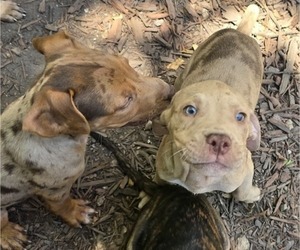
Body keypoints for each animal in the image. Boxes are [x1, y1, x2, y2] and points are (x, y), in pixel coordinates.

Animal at [0, 30, 173, 249]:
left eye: (127, 63)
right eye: (125, 102)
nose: (171, 90)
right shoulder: (55, 191)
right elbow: (63, 205)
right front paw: (77, 213)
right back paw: (9, 235)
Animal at [155, 4, 262, 203]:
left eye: (240, 117)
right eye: (190, 110)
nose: (220, 141)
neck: (200, 178)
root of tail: (240, 33)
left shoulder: (245, 164)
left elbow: (241, 192)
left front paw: (251, 195)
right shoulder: (162, 170)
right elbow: (158, 184)